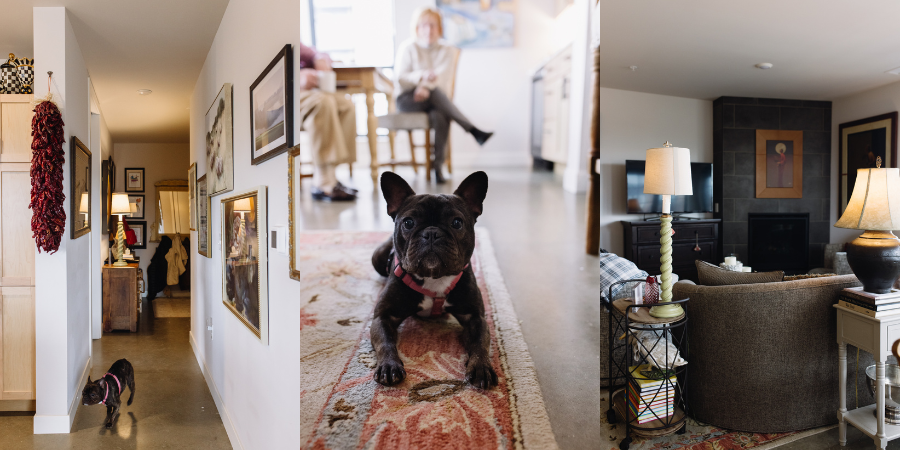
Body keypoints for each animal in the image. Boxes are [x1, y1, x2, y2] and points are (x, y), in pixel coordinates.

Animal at [370, 171, 500, 388]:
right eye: (408, 223)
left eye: (457, 223)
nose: (431, 233)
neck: (434, 277)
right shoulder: (383, 317)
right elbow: (385, 342)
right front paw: (389, 366)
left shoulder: (475, 317)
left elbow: (481, 343)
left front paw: (481, 366)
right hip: (377, 258)